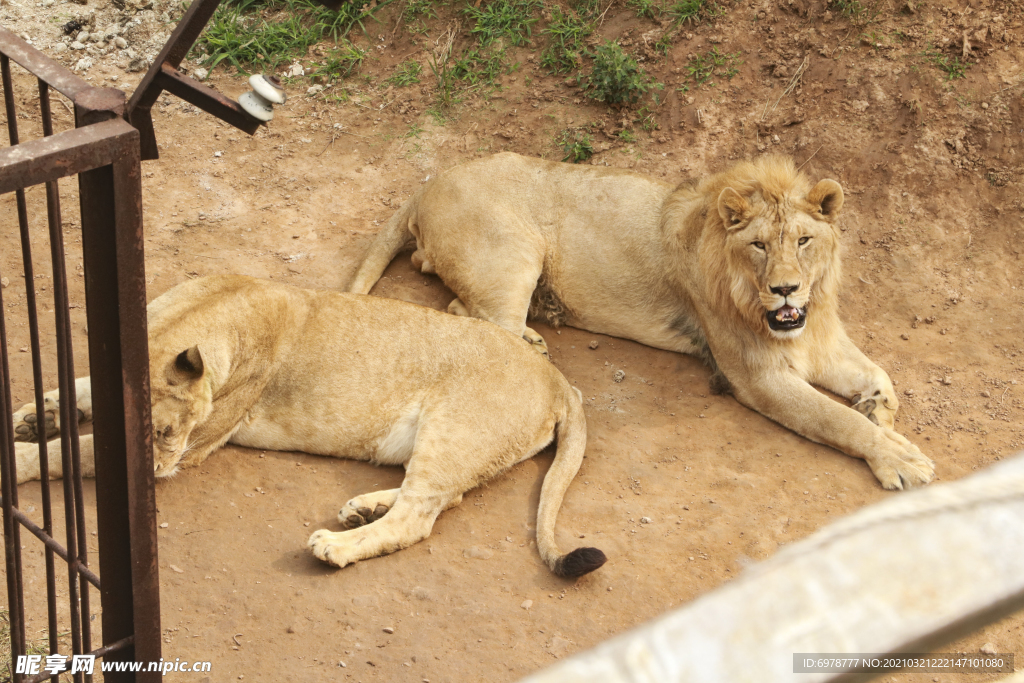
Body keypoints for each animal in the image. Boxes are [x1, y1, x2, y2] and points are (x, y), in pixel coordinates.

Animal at [9, 274, 606, 577]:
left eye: (166, 434)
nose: (155, 471)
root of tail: (560, 378)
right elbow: (78, 388)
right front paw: (35, 416)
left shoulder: (199, 443)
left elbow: (68, 450)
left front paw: (17, 454)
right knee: (443, 498)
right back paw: (361, 508)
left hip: (454, 429)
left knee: (420, 517)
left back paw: (337, 545)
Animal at [352, 152, 937, 489]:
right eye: (759, 246)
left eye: (804, 240)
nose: (786, 288)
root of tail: (428, 184)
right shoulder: (757, 376)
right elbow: (836, 421)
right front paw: (901, 458)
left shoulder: (821, 338)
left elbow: (881, 378)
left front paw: (880, 414)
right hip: (512, 256)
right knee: (472, 316)